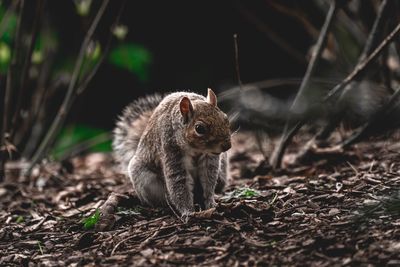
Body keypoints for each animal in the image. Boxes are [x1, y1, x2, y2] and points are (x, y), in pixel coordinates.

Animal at [112, 89, 231, 219]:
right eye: (199, 128)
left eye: (226, 118)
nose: (227, 146)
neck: (196, 149)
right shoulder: (171, 150)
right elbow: (178, 182)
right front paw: (188, 211)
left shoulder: (209, 159)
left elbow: (208, 179)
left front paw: (210, 202)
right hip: (145, 180)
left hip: (222, 172)